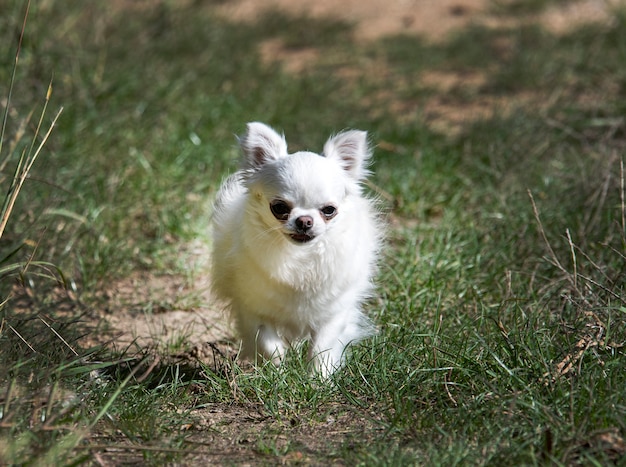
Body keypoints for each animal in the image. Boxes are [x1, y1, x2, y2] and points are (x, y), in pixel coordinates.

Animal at [211, 123, 380, 376]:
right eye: (279, 207)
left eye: (329, 210)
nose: (304, 221)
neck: (300, 257)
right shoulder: (253, 310)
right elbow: (269, 344)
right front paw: (277, 374)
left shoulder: (333, 313)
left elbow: (321, 349)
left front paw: (318, 380)